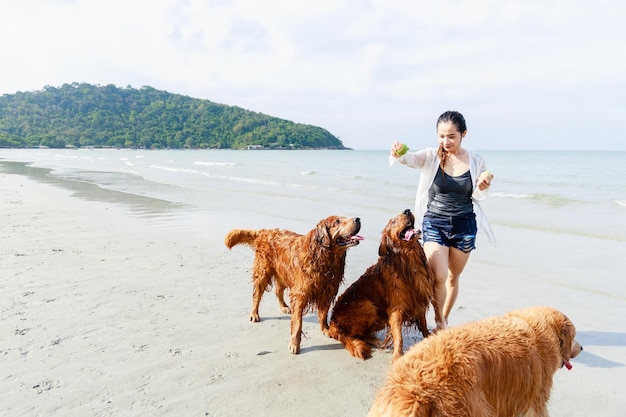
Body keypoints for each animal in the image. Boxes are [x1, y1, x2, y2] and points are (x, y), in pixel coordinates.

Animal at [224, 216, 360, 352]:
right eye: (337, 221)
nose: (358, 219)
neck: (324, 256)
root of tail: (264, 232)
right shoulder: (300, 294)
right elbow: (298, 322)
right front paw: (294, 344)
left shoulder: (327, 291)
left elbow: (323, 314)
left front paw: (325, 329)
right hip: (263, 271)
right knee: (257, 294)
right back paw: (254, 313)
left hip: (283, 273)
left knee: (278, 291)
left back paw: (284, 307)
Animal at [326, 210, 434, 362]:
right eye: (393, 222)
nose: (407, 211)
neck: (409, 260)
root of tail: (333, 322)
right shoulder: (396, 308)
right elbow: (398, 335)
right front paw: (398, 356)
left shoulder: (419, 300)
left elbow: (423, 324)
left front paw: (431, 338)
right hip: (369, 306)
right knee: (353, 335)